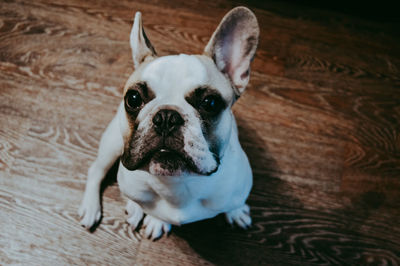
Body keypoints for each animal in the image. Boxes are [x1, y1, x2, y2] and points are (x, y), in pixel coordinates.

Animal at [78, 6, 260, 240]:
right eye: (133, 98)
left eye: (210, 103)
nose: (166, 116)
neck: (177, 184)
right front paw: (157, 220)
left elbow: (234, 202)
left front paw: (236, 211)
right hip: (113, 144)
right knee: (96, 170)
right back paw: (93, 208)